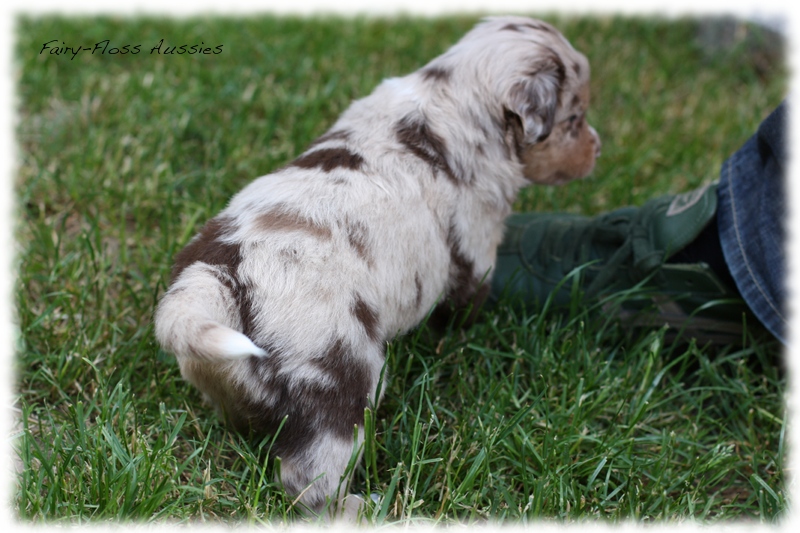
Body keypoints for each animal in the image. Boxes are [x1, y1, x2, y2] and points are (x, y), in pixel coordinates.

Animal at [153, 15, 600, 520]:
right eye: (574, 119)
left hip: (219, 369)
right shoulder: (476, 247)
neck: (456, 95)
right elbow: (466, 305)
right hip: (339, 381)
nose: (599, 149)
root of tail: (221, 275)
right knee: (309, 479)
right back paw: (360, 506)